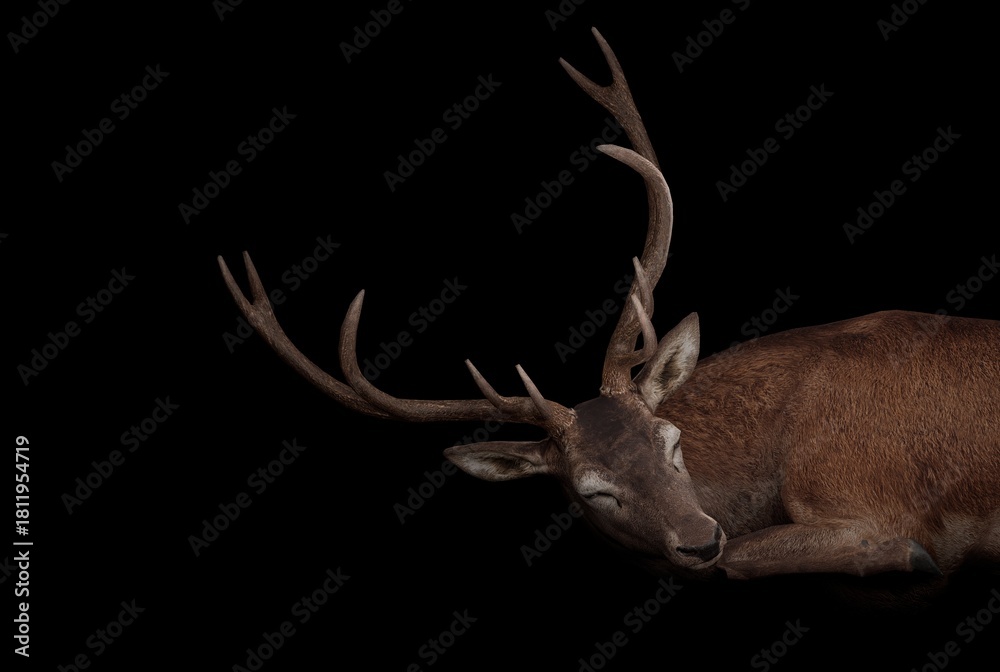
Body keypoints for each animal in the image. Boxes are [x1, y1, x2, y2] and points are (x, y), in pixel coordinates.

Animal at [218, 28, 999, 600]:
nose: (698, 537)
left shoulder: (869, 492)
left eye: (672, 441)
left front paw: (909, 557)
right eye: (594, 491)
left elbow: (749, 558)